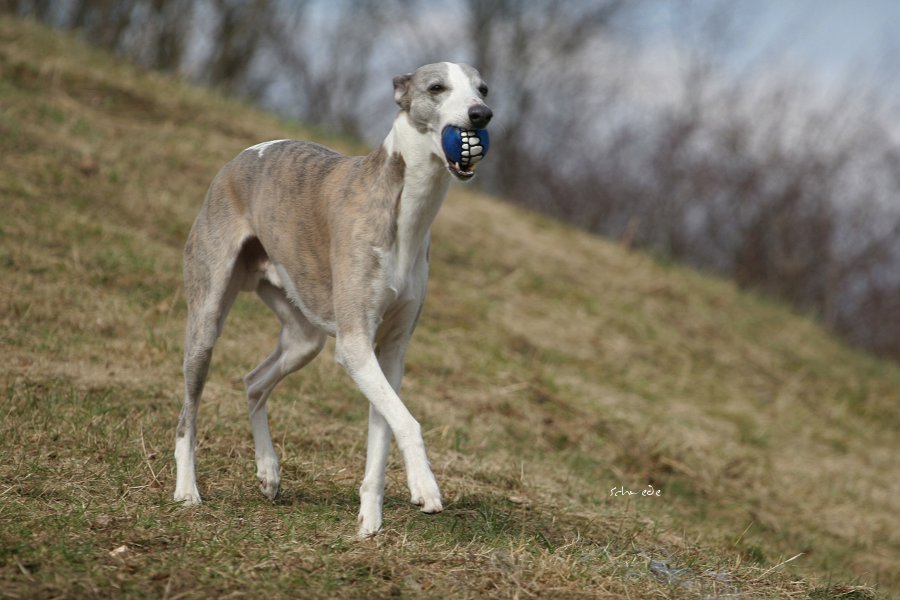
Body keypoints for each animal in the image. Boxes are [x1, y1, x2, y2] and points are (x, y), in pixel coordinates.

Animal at [174, 63, 492, 536]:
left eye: (483, 88)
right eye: (437, 87)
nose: (481, 114)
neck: (404, 209)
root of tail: (243, 156)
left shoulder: (388, 353)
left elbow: (384, 430)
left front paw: (370, 523)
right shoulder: (355, 345)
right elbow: (408, 421)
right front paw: (425, 487)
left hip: (304, 337)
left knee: (254, 381)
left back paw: (269, 471)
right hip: (207, 319)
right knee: (188, 413)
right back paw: (187, 491)